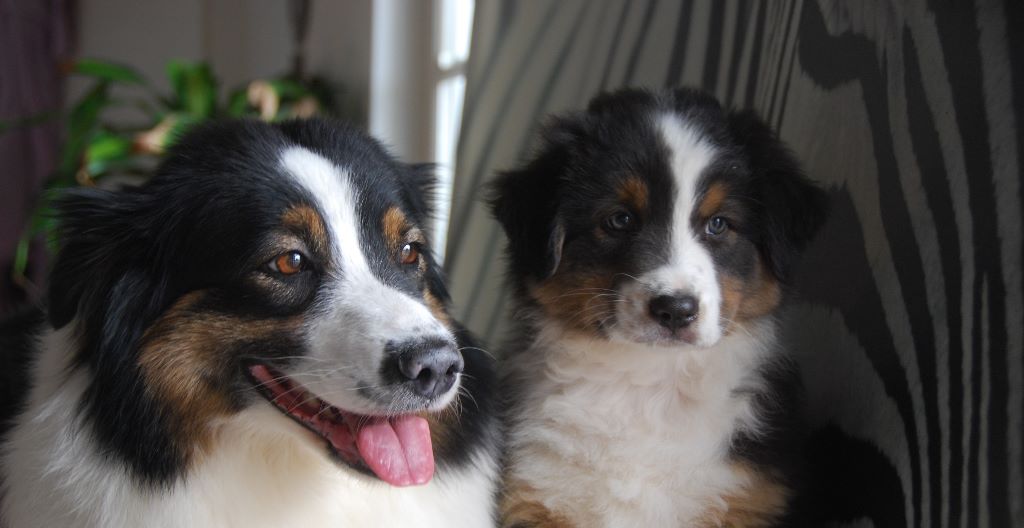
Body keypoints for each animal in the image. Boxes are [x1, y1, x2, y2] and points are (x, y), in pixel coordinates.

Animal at [490, 88, 827, 527]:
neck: (648, 384)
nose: (676, 310)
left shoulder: (752, 499)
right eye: (619, 219)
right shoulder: (535, 492)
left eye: (719, 224)